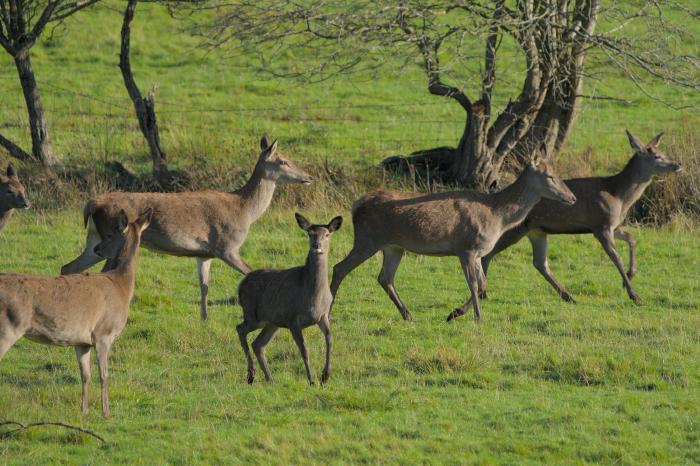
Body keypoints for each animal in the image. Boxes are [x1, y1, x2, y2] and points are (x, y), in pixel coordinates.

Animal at [0, 208, 152, 417]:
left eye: (110, 235)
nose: (97, 249)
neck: (121, 285)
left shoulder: (82, 341)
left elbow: (85, 375)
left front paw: (84, 410)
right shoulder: (104, 333)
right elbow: (104, 375)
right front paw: (106, 412)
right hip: (8, 327)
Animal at [61, 135, 313, 320]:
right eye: (282, 161)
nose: (308, 176)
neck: (245, 211)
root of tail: (90, 206)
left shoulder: (205, 253)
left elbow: (204, 286)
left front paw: (205, 318)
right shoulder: (226, 246)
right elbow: (251, 271)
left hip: (94, 240)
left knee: (68, 266)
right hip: (113, 238)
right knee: (101, 272)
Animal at [237, 213, 342, 385]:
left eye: (327, 234)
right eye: (310, 234)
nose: (317, 245)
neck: (313, 297)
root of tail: (240, 286)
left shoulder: (323, 315)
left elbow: (330, 339)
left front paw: (325, 375)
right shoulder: (293, 319)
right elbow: (304, 349)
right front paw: (311, 380)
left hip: (272, 322)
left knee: (258, 344)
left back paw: (270, 379)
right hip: (252, 314)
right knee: (240, 329)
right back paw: (251, 375)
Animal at [330, 159, 577, 322]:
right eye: (550, 176)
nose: (572, 198)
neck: (497, 216)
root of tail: (355, 206)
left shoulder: (478, 251)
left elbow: (483, 283)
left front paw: (455, 313)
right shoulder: (465, 247)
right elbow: (474, 283)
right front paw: (477, 317)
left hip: (393, 247)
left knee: (384, 277)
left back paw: (408, 315)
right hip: (367, 239)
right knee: (339, 267)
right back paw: (328, 310)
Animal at [474, 130, 682, 310]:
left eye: (662, 152)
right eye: (657, 156)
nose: (677, 164)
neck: (619, 197)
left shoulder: (611, 225)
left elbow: (632, 238)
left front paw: (630, 276)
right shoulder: (601, 224)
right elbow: (616, 258)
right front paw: (634, 295)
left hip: (537, 230)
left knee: (540, 263)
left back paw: (568, 296)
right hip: (517, 228)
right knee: (489, 253)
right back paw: (484, 293)